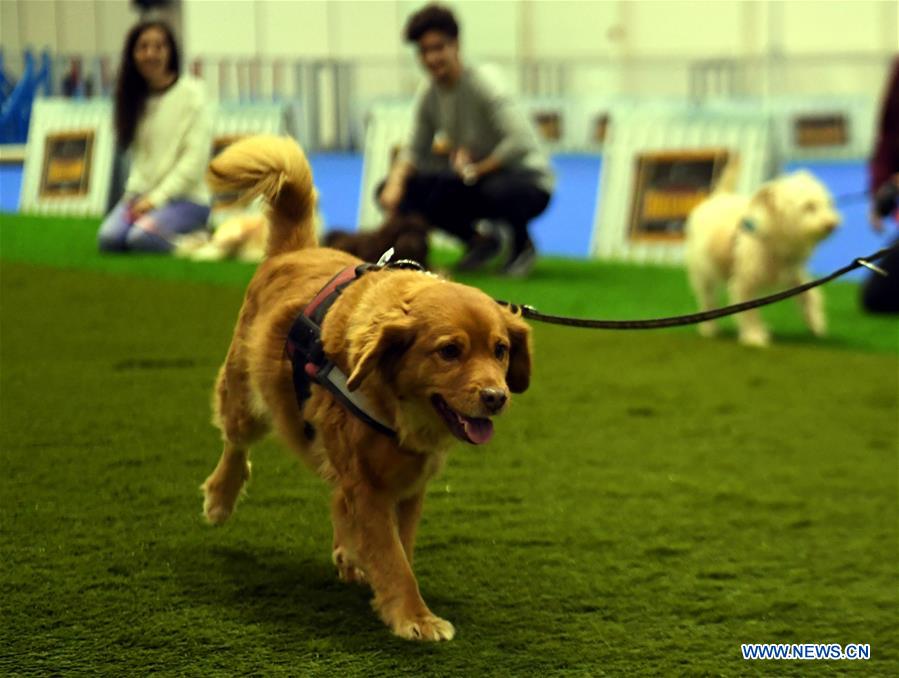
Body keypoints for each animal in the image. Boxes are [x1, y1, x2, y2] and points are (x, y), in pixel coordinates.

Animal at [200, 134, 532, 644]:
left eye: (500, 350)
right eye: (449, 351)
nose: (496, 398)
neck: (402, 408)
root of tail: (296, 251)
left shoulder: (408, 487)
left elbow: (399, 547)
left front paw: (387, 590)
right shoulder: (371, 485)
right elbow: (392, 557)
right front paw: (414, 616)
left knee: (336, 497)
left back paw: (347, 555)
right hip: (245, 396)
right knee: (236, 442)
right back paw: (221, 496)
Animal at [688, 164, 844, 346]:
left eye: (828, 204)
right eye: (809, 206)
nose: (832, 224)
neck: (773, 238)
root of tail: (720, 196)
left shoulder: (794, 274)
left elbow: (809, 296)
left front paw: (816, 323)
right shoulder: (745, 282)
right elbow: (749, 312)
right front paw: (754, 336)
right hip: (703, 272)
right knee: (707, 299)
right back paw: (709, 328)